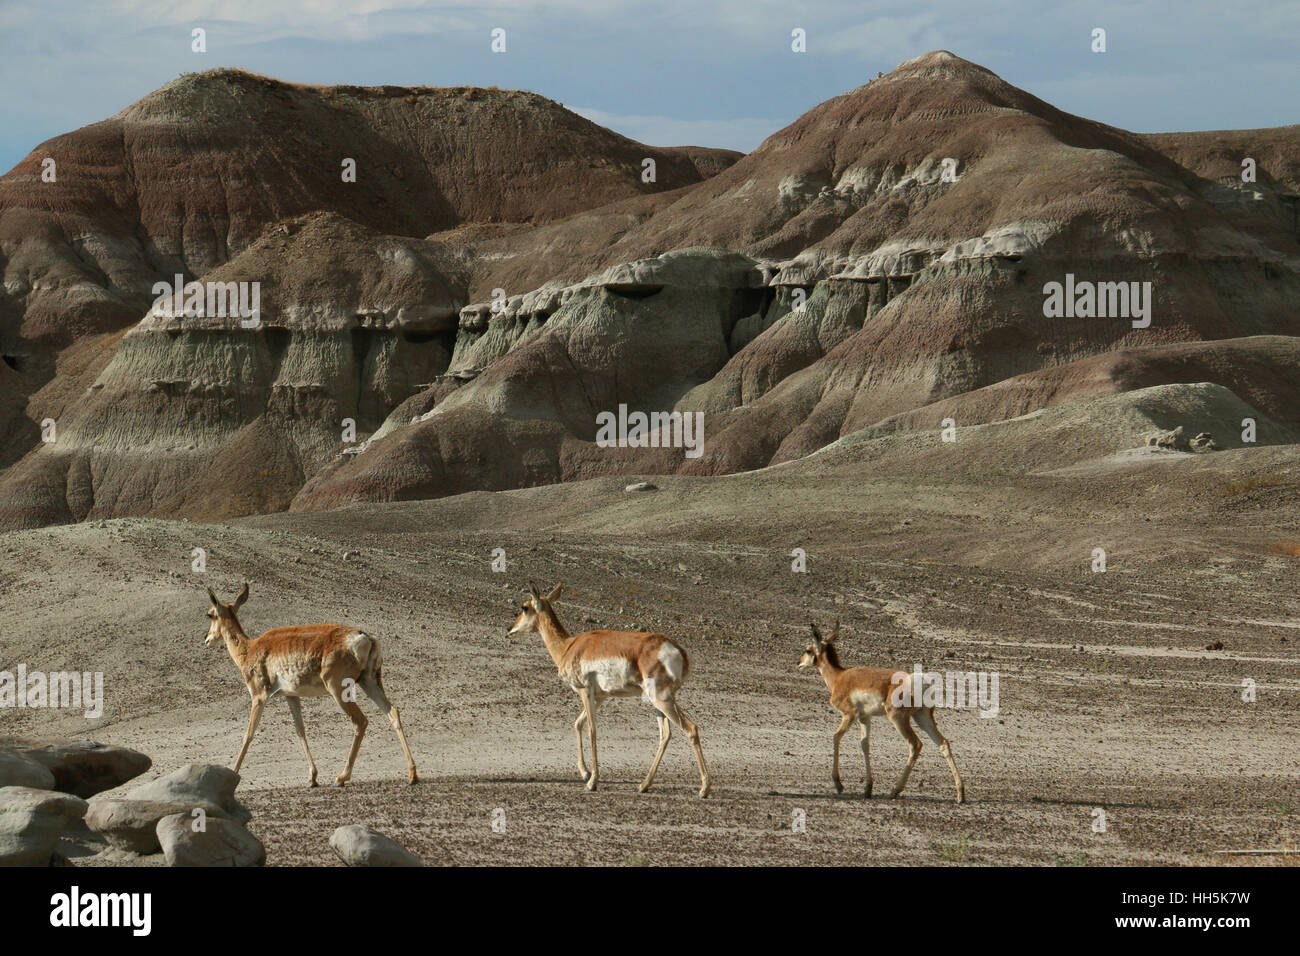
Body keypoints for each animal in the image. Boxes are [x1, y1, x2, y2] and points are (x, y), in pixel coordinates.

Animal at [203, 583, 418, 787]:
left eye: (210, 614)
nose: (207, 640)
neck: (249, 648)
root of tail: (365, 636)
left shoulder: (259, 697)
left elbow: (248, 734)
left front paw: (233, 774)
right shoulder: (291, 696)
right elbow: (300, 730)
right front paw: (312, 777)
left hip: (339, 690)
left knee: (360, 721)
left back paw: (341, 778)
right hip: (369, 682)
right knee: (393, 712)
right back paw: (412, 775)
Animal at [508, 582, 710, 798]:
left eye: (524, 607)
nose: (509, 629)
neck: (568, 646)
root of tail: (677, 649)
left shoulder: (585, 691)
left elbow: (591, 730)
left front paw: (592, 782)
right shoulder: (601, 697)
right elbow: (578, 724)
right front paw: (585, 773)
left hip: (662, 700)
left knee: (690, 728)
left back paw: (703, 789)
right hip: (658, 702)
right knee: (665, 735)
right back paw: (643, 785)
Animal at [798, 621, 965, 803]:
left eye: (808, 649)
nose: (799, 663)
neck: (839, 677)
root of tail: (919, 680)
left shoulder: (849, 715)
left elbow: (836, 737)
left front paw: (839, 785)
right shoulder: (864, 718)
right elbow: (865, 744)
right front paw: (867, 788)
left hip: (898, 718)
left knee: (915, 744)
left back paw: (894, 791)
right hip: (922, 717)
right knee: (943, 743)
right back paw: (960, 794)